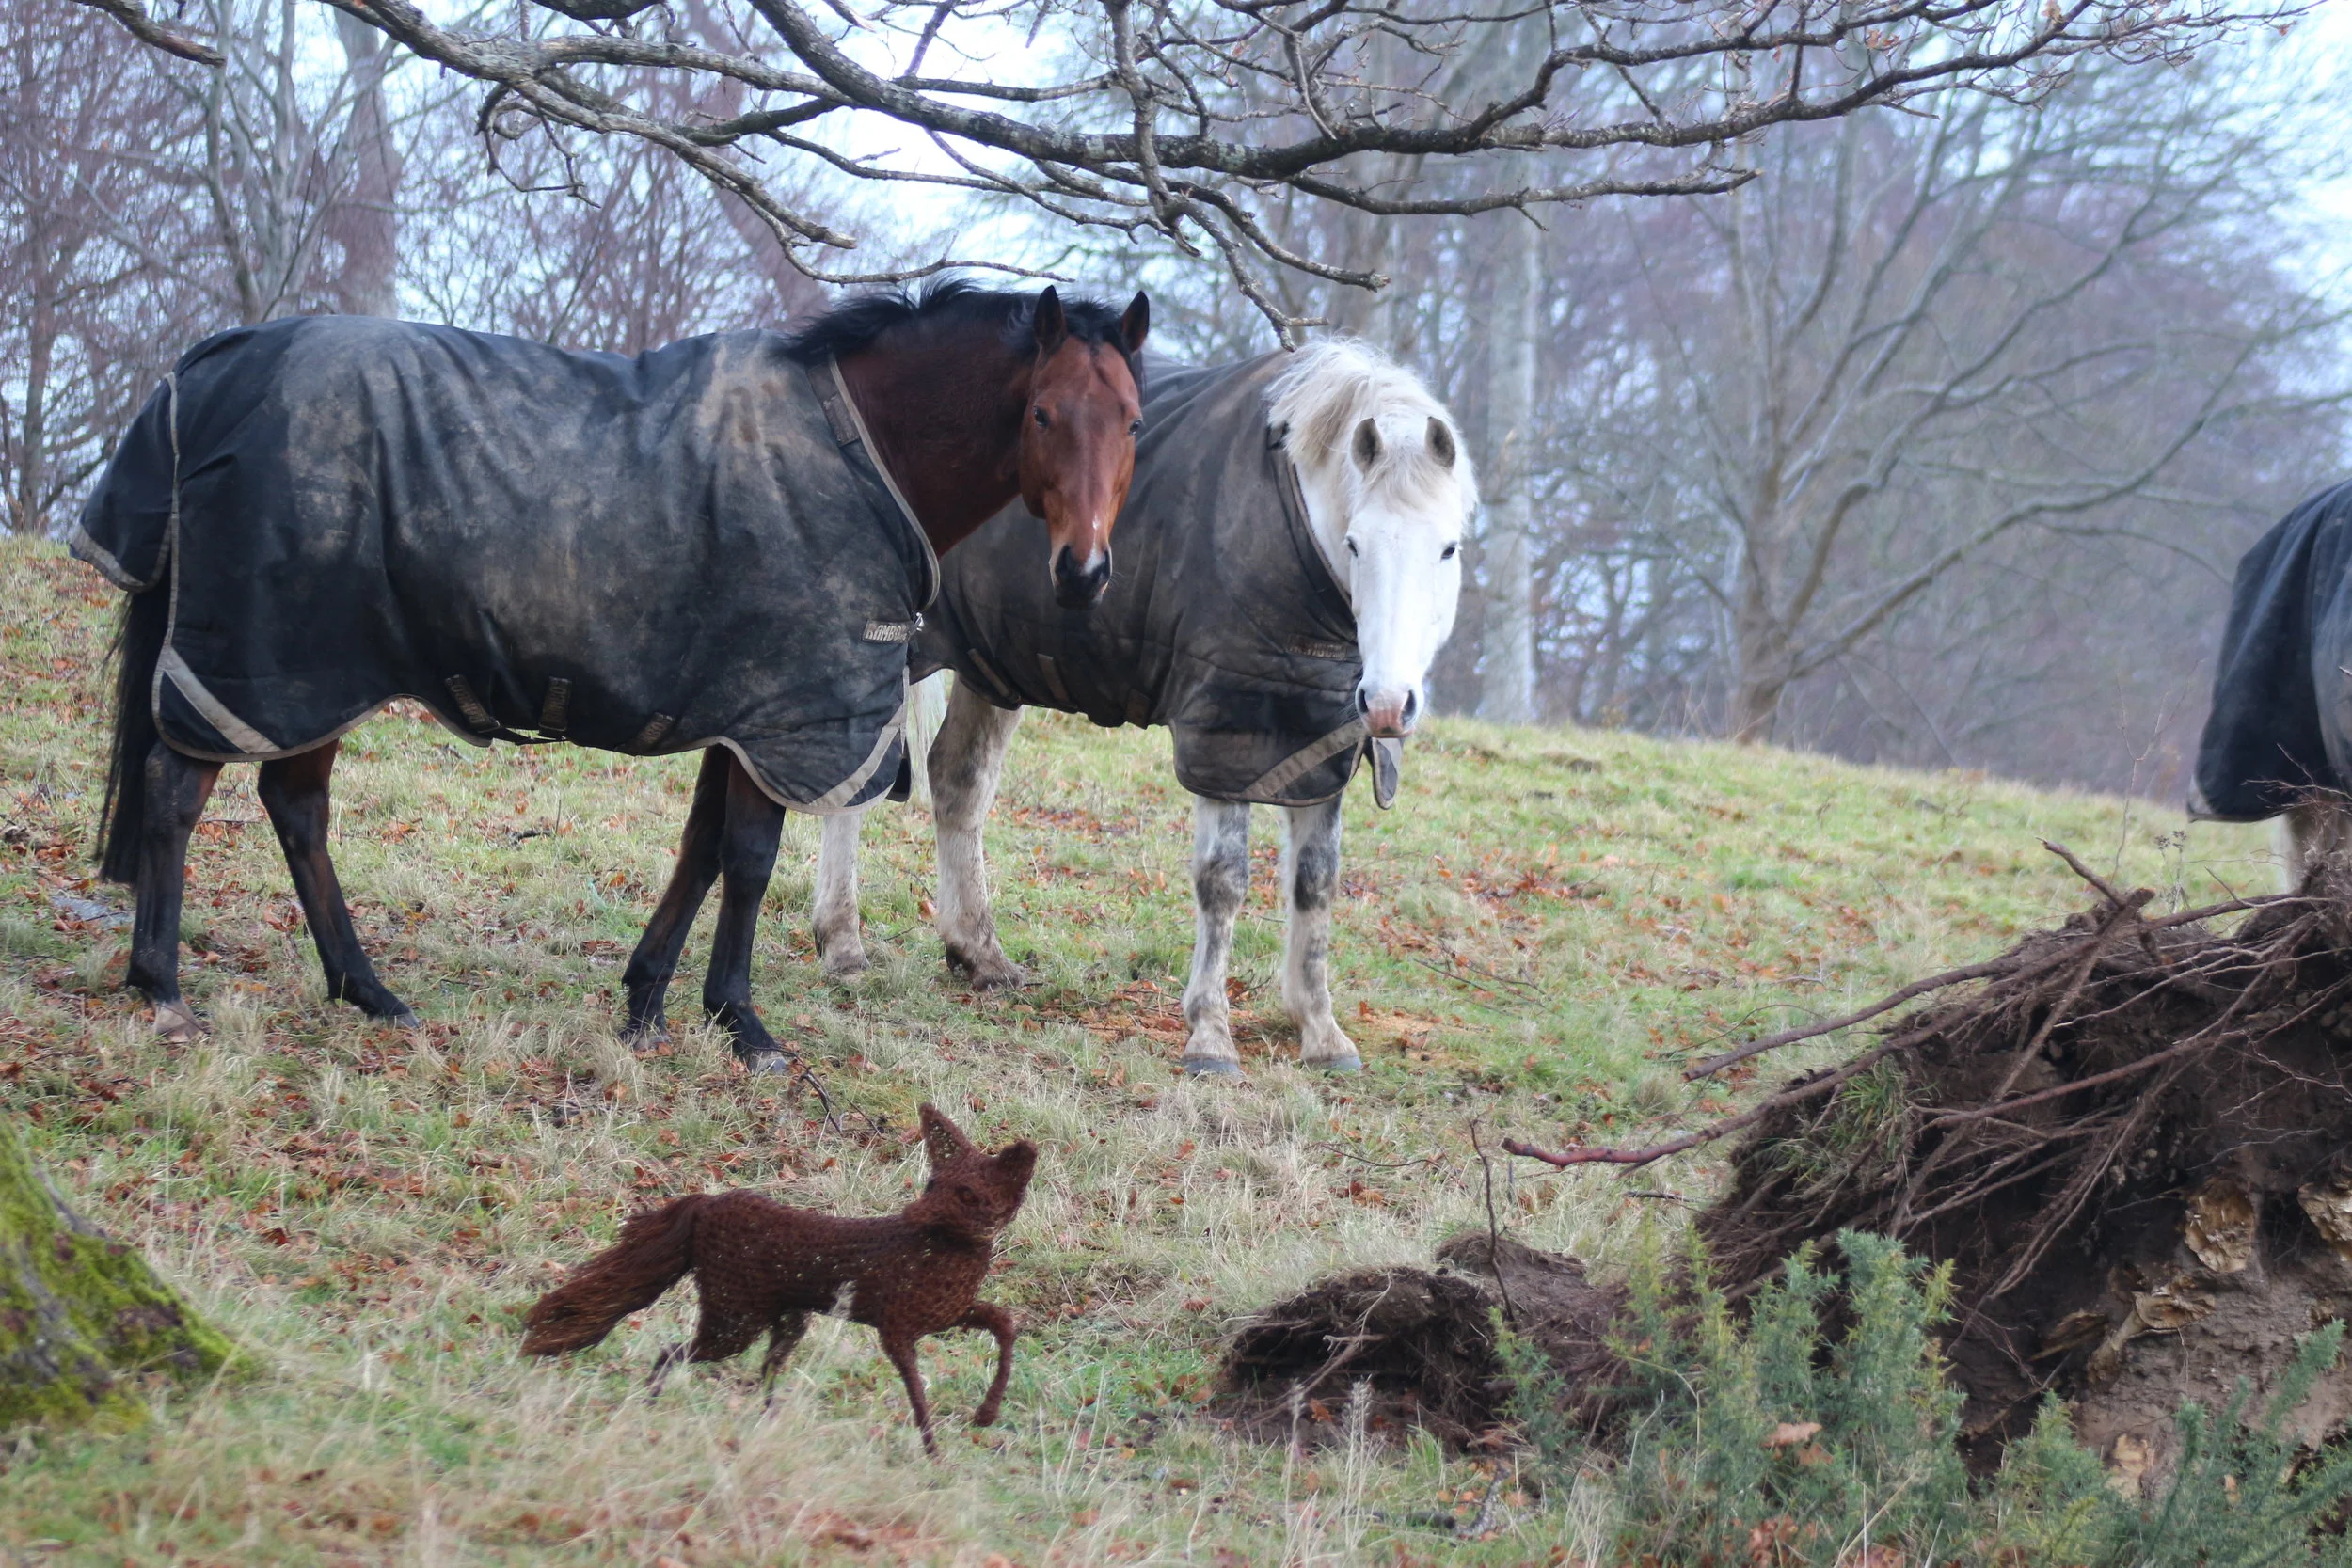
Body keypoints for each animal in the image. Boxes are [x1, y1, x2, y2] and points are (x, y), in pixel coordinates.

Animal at [87, 281, 1152, 1067]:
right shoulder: (781, 710)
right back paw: (165, 987)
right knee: (178, 790)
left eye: (1134, 422)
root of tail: (213, 366)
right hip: (265, 660)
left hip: (316, 673)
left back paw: (368, 990)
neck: (858, 448)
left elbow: (702, 848)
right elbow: (748, 859)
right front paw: (740, 1021)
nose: (1085, 571)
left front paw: (646, 1003)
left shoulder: (740, 714)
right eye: (1044, 413)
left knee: (295, 806)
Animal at [524, 1100, 1040, 1457]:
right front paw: (935, 1460)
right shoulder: (897, 1332)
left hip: (784, 1322)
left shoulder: (948, 1315)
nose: (913, 1215)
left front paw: (986, 1413)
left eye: (968, 1194)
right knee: (674, 1352)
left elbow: (1005, 1326)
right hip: (734, 1321)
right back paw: (651, 1409)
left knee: (762, 1371)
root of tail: (708, 1203)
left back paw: (762, 1429)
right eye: (933, 1185)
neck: (946, 1252)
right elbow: (918, 1398)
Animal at [809, 341, 1468, 1081]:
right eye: (1355, 544)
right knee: (856, 783)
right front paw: (1210, 1037)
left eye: (1448, 546)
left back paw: (980, 955)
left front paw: (1321, 1032)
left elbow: (1316, 882)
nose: (1387, 703)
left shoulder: (1317, 744)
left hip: (993, 662)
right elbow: (1223, 881)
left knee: (957, 784)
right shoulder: (1222, 735)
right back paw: (843, 946)